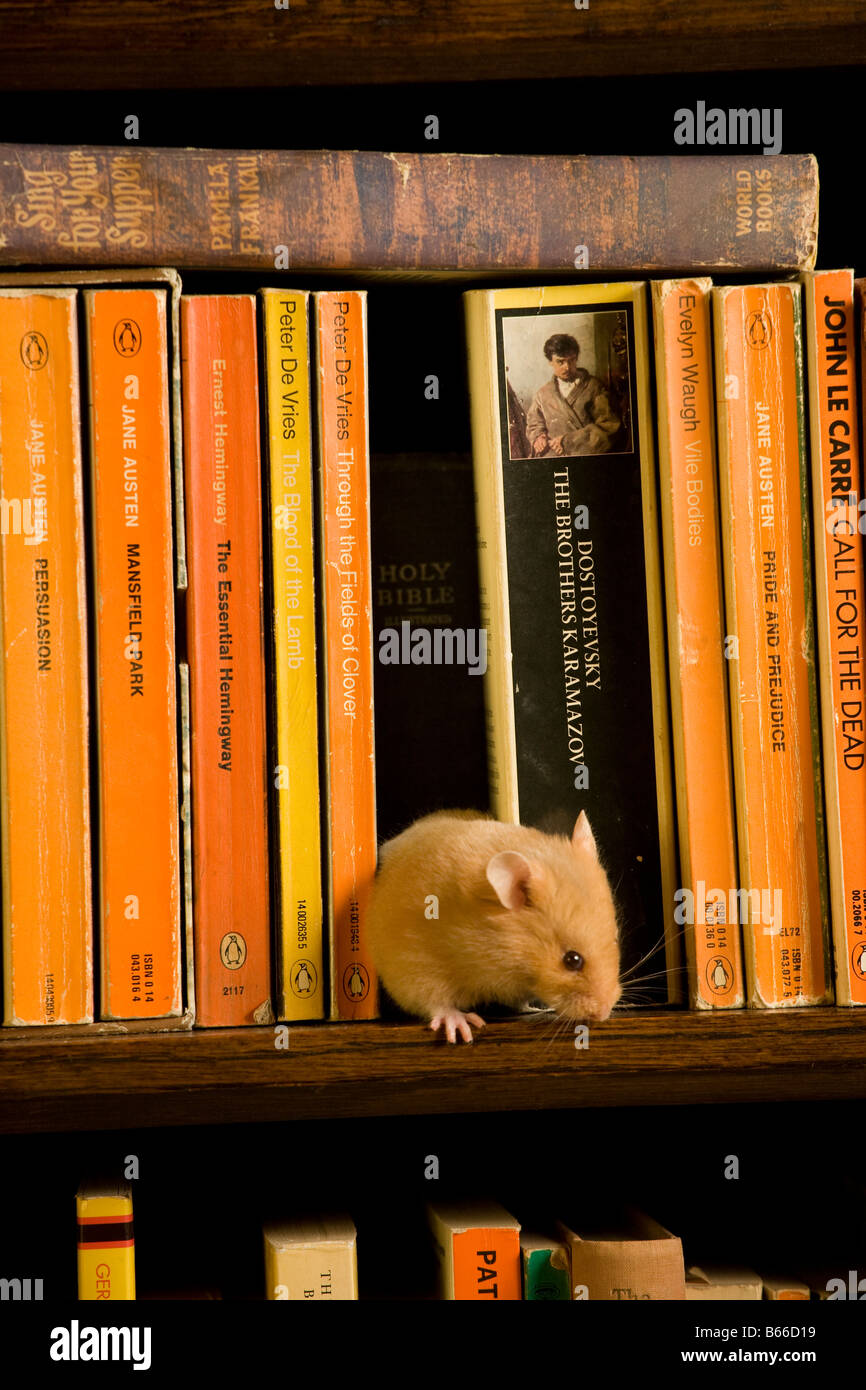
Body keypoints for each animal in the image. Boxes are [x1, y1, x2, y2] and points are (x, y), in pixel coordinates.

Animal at [367, 809, 621, 1042]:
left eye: (615, 938)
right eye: (572, 960)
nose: (604, 1013)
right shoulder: (414, 962)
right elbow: (436, 1002)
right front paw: (463, 1030)